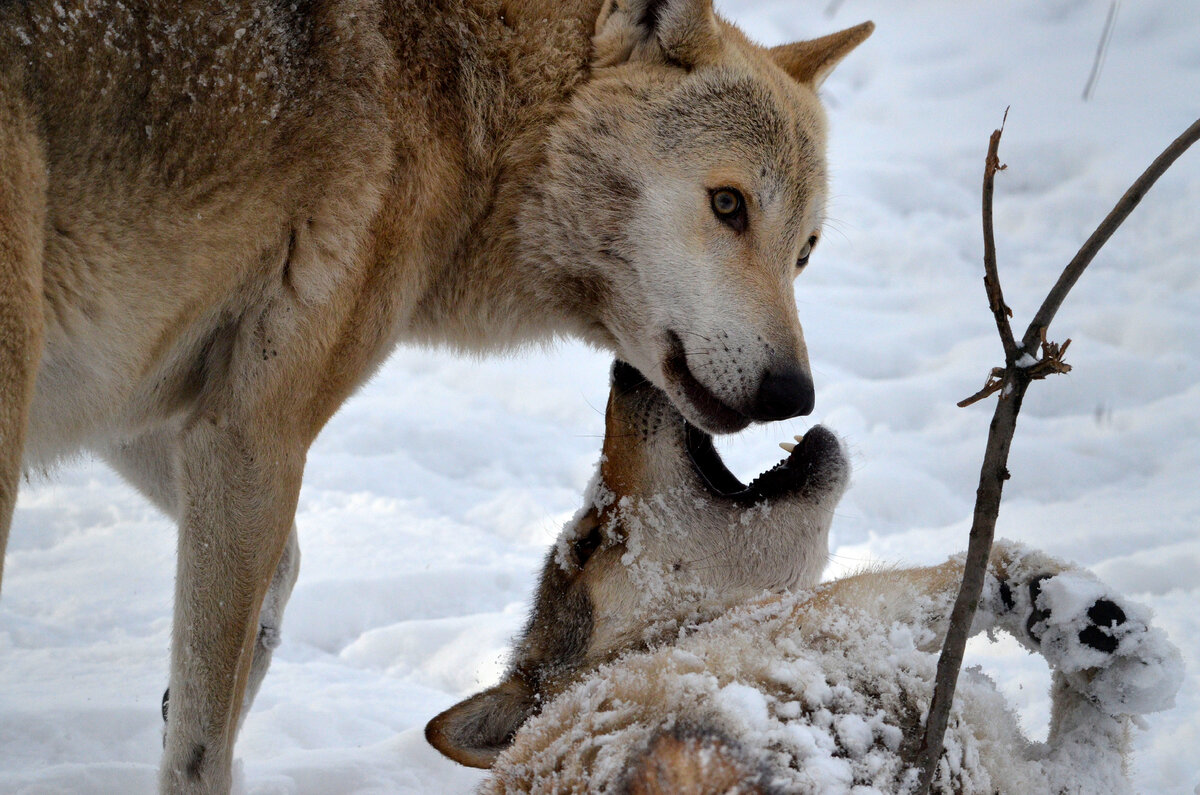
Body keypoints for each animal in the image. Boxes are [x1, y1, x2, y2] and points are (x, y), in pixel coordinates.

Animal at [0, 0, 873, 792]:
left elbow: (267, 599)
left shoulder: (149, 416)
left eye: (805, 250)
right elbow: (202, 740)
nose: (793, 392)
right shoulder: (254, 434)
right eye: (729, 205)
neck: (457, 102)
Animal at [429, 365, 1180, 792]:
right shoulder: (845, 608)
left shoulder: (1036, 777)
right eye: (588, 539)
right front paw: (1095, 627)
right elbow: (959, 571)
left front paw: (1086, 628)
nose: (621, 366)